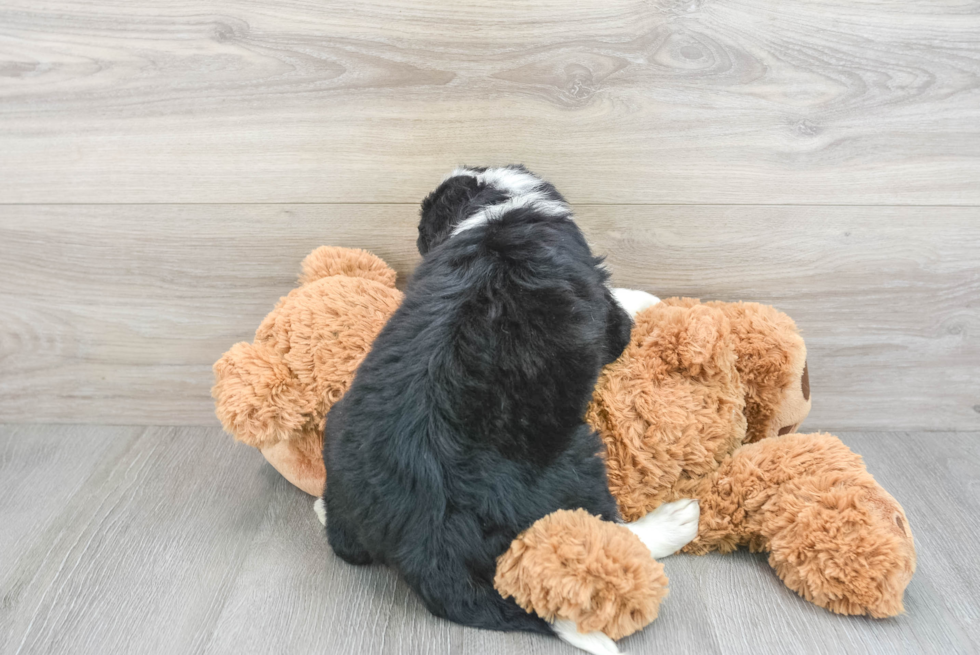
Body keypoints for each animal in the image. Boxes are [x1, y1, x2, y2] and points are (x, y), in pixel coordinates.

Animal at [320, 164, 636, 644]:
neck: (495, 204)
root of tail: (425, 540)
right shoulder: (609, 320)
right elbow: (625, 315)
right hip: (577, 463)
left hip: (337, 435)